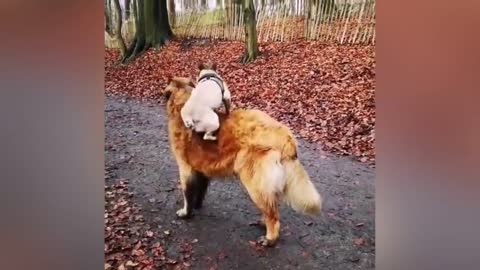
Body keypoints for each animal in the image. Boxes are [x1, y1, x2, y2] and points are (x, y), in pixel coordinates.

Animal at [163, 76, 324, 247]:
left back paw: (270, 238)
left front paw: (186, 212)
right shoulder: (202, 170)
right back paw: (263, 222)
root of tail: (285, 137)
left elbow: (187, 193)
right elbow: (200, 191)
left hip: (254, 183)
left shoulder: (185, 169)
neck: (185, 101)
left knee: (273, 215)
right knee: (272, 206)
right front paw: (197, 205)